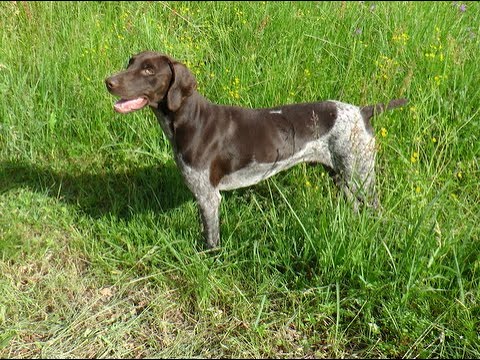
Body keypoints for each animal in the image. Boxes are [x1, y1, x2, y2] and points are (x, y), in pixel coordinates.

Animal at [104, 50, 404, 248]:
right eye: (130, 62)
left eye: (148, 70)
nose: (108, 81)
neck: (190, 120)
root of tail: (362, 111)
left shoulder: (208, 197)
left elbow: (211, 239)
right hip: (342, 176)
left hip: (361, 176)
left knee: (375, 207)